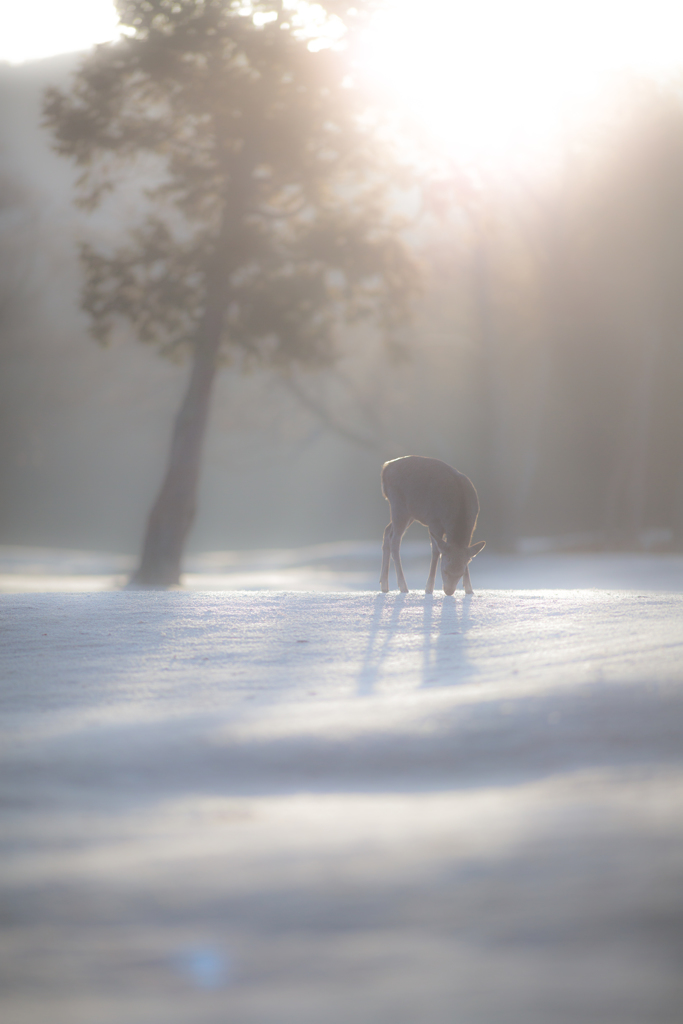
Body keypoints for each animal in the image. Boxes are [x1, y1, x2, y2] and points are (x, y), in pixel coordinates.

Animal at [378, 454, 485, 598]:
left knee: (387, 531)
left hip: (410, 513)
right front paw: (428, 589)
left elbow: (467, 553)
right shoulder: (434, 521)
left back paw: (384, 585)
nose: (449, 591)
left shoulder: (473, 524)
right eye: (444, 570)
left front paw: (469, 590)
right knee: (395, 540)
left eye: (461, 573)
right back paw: (403, 587)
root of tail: (386, 467)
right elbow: (435, 551)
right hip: (398, 505)